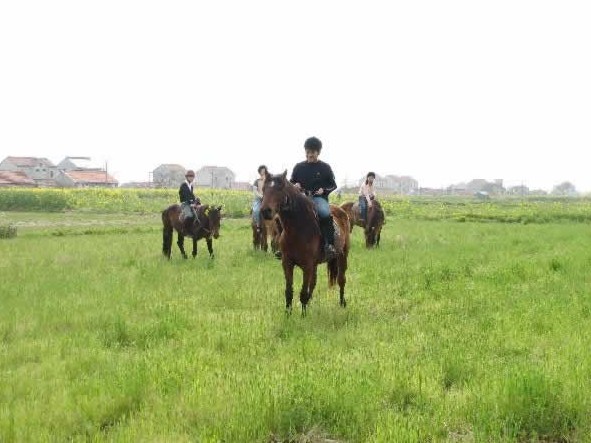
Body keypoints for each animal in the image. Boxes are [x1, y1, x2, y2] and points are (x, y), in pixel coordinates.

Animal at [260, 171, 352, 316]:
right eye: (264, 189)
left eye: (280, 188)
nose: (265, 211)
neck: (298, 228)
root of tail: (342, 211)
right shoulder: (287, 263)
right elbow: (289, 291)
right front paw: (288, 314)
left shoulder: (307, 265)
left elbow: (303, 292)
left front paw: (303, 316)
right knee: (313, 283)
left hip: (342, 255)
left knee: (341, 280)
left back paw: (342, 303)